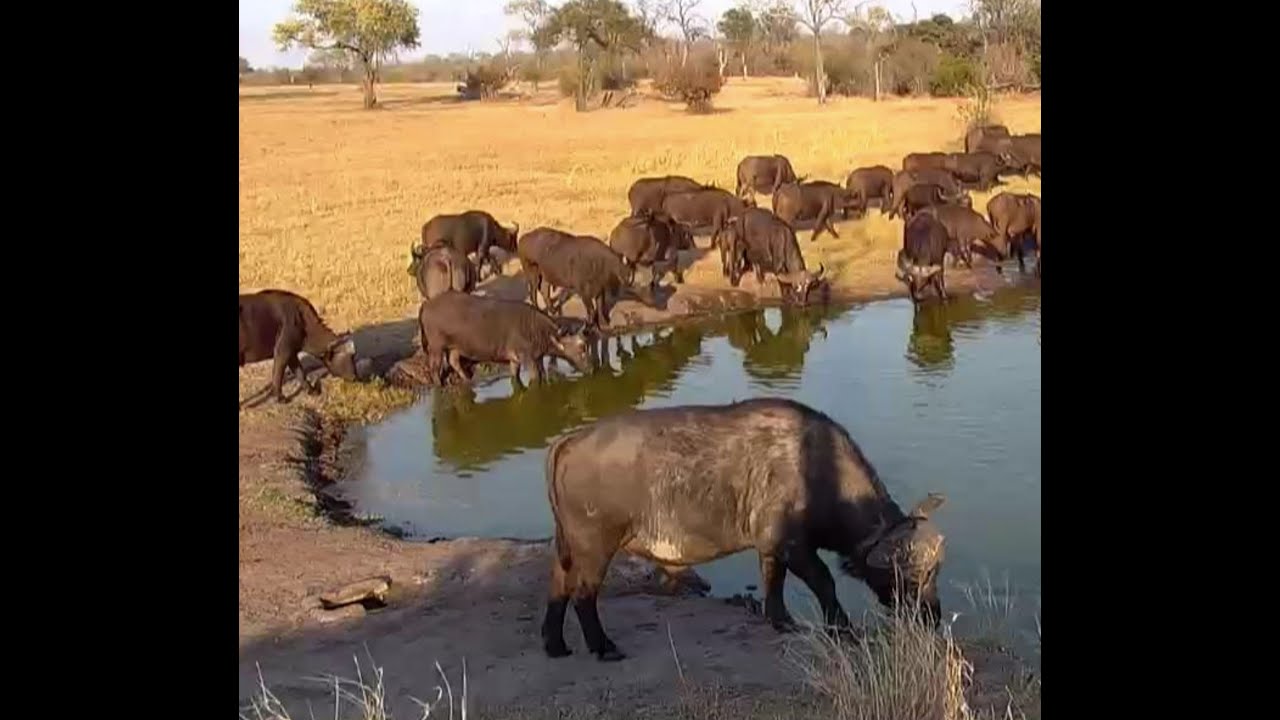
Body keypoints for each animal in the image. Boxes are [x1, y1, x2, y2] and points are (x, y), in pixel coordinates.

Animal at [419, 289, 593, 386]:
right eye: (582, 348)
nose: (591, 369)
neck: (536, 330)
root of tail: (427, 305)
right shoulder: (527, 359)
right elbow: (536, 378)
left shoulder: (521, 359)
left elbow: (519, 376)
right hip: (436, 347)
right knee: (434, 367)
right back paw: (439, 385)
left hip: (456, 346)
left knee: (454, 361)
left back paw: (468, 380)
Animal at [542, 394, 952, 661]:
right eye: (913, 576)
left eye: (936, 571)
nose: (933, 617)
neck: (819, 469)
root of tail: (572, 438)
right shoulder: (794, 547)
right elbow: (824, 584)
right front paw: (843, 629)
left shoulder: (771, 547)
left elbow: (774, 583)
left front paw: (782, 621)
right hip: (594, 547)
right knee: (583, 595)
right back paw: (603, 647)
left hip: (567, 547)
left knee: (558, 587)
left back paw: (555, 644)